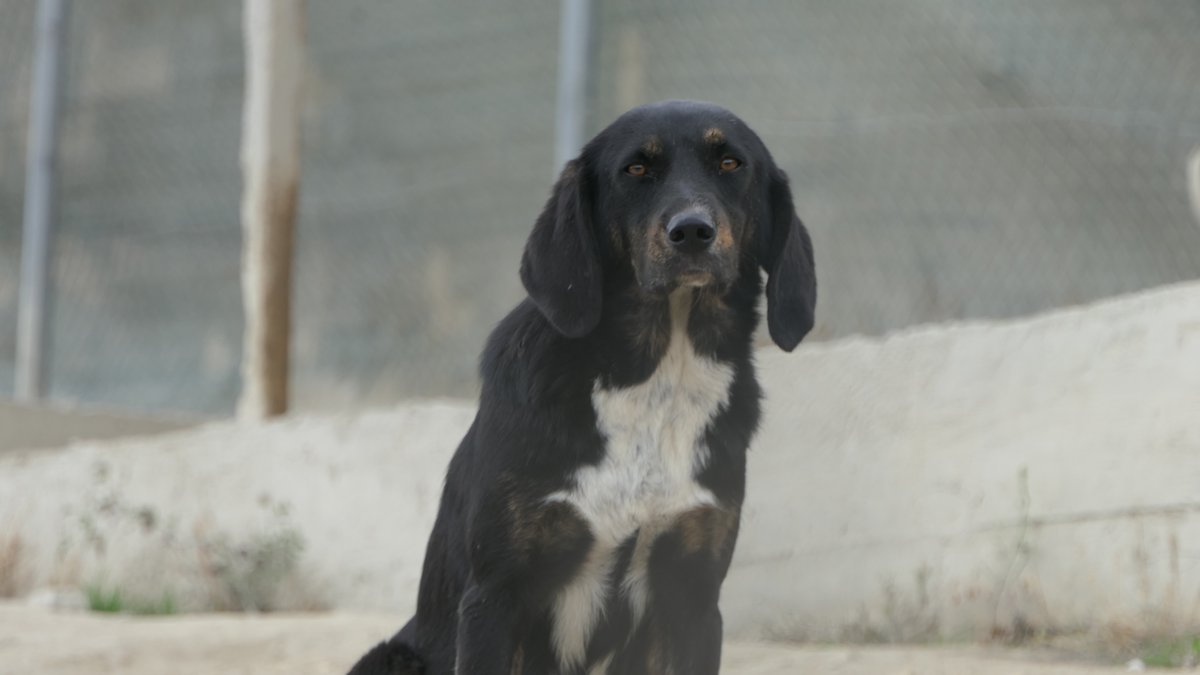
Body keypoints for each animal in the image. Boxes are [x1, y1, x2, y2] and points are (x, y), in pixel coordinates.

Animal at [347, 100, 816, 675]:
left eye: (731, 163)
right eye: (635, 169)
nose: (691, 231)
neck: (656, 378)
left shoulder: (694, 599)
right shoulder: (495, 596)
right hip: (390, 656)